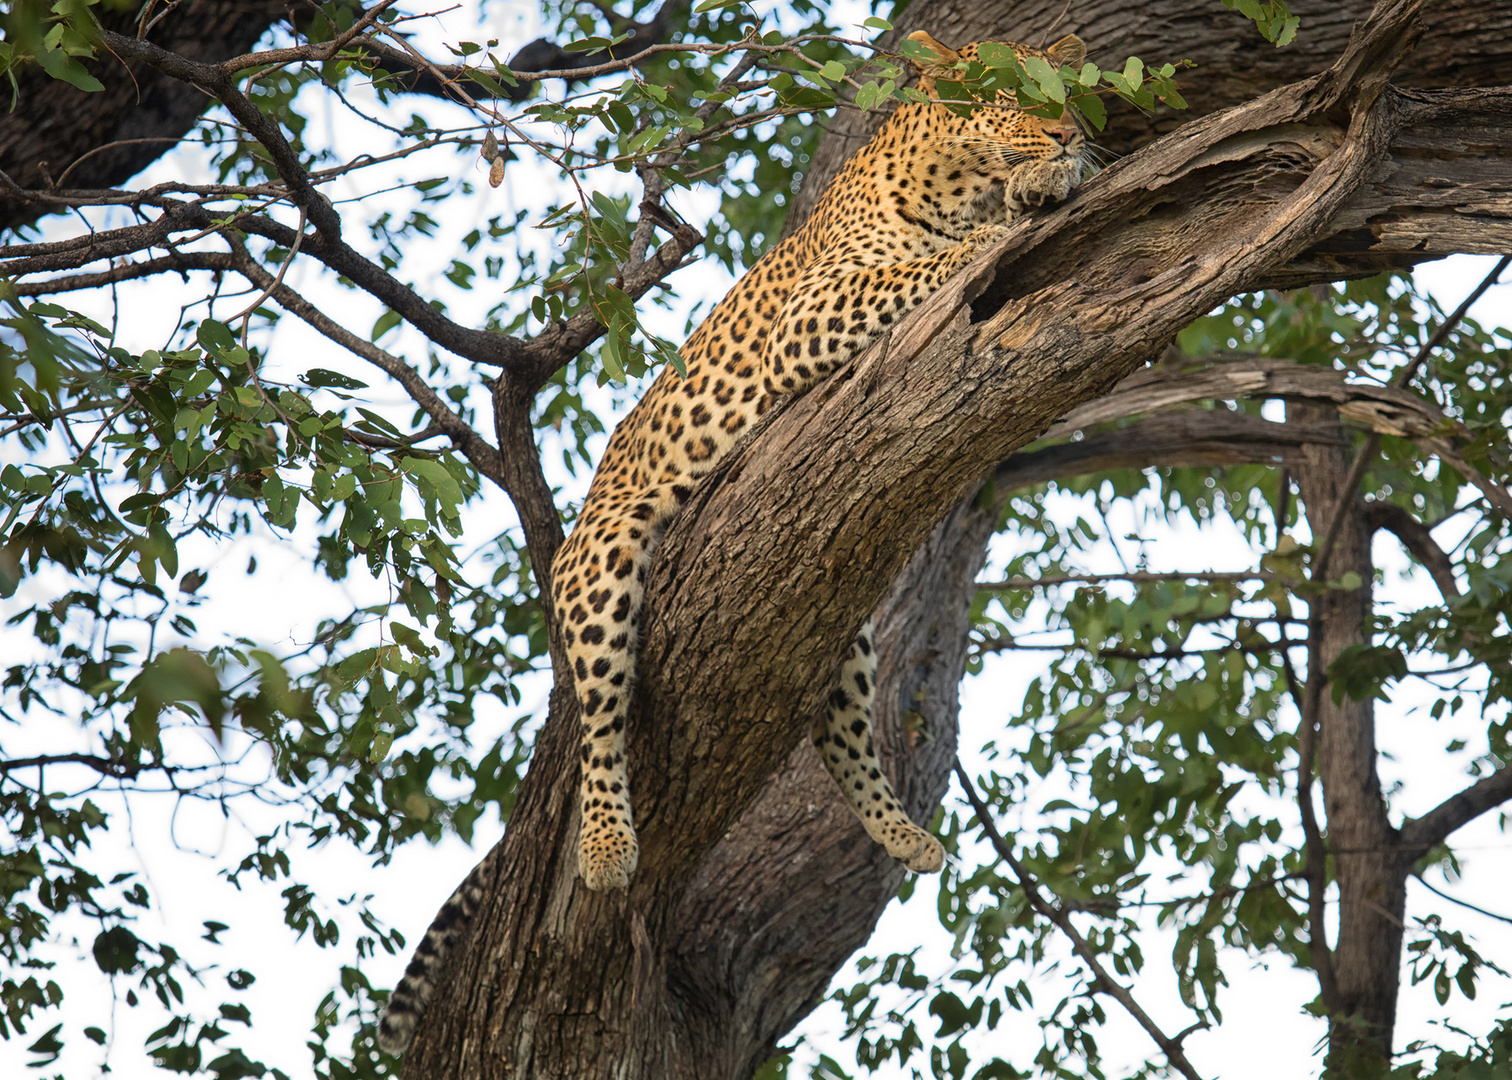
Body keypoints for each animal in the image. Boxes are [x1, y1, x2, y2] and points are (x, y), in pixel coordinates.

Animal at [378, 31, 1088, 1052]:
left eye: (1066, 92)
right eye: (1009, 95)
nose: (1067, 133)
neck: (957, 183)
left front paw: (1042, 189)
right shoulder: (816, 310)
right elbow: (919, 268)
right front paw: (996, 230)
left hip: (842, 627)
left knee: (840, 735)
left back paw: (901, 833)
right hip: (601, 569)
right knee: (601, 722)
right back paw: (606, 845)